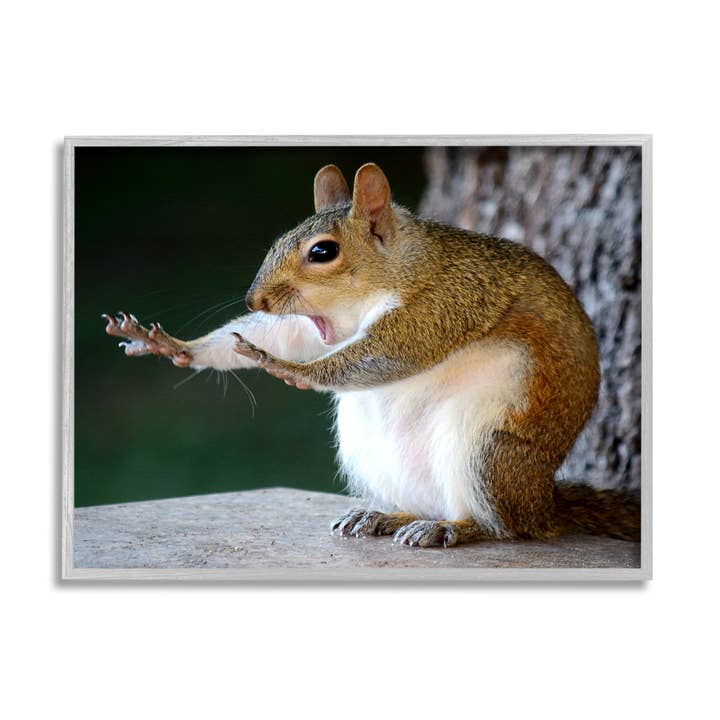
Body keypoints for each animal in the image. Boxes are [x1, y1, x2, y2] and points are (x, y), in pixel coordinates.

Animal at [103, 162, 640, 547]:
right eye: (279, 240)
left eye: (322, 252)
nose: (255, 301)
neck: (403, 267)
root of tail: (542, 503)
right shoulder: (316, 325)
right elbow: (286, 335)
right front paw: (173, 345)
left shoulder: (447, 302)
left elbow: (389, 353)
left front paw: (289, 368)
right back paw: (385, 516)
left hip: (488, 451)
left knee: (505, 527)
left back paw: (455, 528)